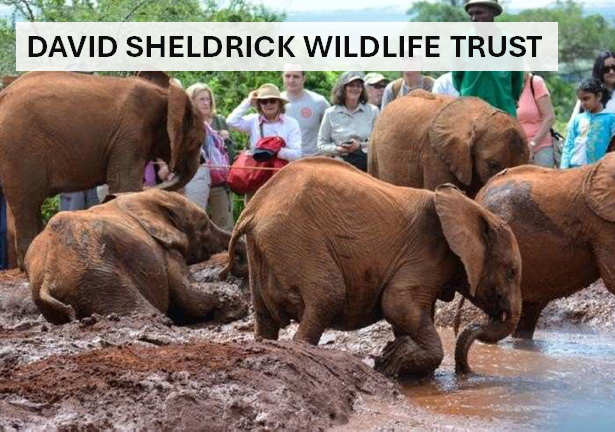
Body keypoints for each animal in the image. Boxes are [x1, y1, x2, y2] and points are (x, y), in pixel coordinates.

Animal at [0, 71, 207, 266]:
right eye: (196, 143)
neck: (167, 95)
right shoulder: (131, 132)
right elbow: (124, 183)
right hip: (20, 148)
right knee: (26, 204)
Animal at [25, 189, 248, 324]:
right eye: (203, 227)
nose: (229, 269)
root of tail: (48, 279)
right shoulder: (165, 250)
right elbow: (188, 295)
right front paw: (236, 308)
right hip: (97, 277)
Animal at [224, 159, 524, 378]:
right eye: (511, 272)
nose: (466, 372)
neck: (473, 208)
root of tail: (253, 208)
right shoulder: (425, 253)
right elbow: (396, 304)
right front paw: (393, 361)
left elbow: (409, 313)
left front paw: (401, 363)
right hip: (296, 240)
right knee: (327, 296)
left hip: (264, 251)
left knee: (265, 318)